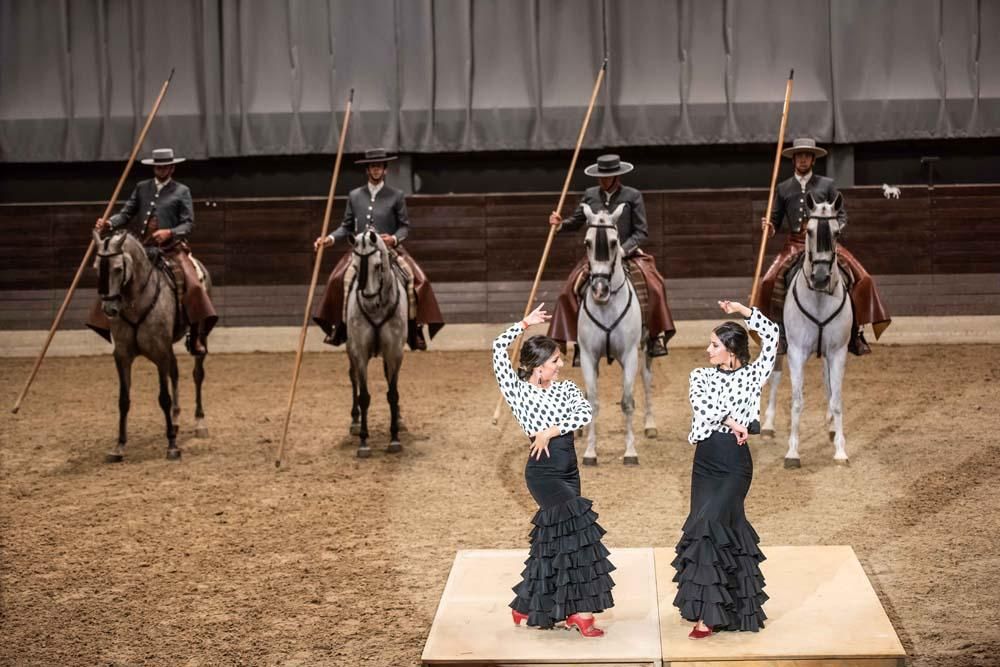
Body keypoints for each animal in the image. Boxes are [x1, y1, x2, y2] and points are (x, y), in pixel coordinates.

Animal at [92, 230, 209, 460]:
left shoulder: (160, 351)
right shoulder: (122, 356)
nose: (109, 309)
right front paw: (119, 446)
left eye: (118, 268)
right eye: (97, 268)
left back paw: (199, 423)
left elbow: (163, 397)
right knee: (175, 372)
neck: (135, 301)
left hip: (199, 337)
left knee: (197, 374)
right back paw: (175, 420)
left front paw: (172, 445)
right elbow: (123, 399)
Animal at [344, 227, 406, 456]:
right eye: (355, 266)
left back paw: (399, 418)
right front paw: (363, 441)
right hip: (350, 350)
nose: (369, 303)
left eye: (378, 266)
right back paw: (354, 421)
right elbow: (364, 396)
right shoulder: (360, 352)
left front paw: (394, 438)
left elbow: (393, 393)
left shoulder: (394, 352)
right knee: (352, 377)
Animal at [576, 202, 652, 464]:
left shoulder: (629, 355)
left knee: (646, 380)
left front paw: (630, 451)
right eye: (587, 242)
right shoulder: (588, 356)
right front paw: (590, 452)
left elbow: (627, 402)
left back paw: (650, 425)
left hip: (645, 350)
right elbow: (593, 401)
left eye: (612, 242)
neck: (606, 306)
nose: (600, 289)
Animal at [764, 190, 852, 468]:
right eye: (809, 231)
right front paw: (792, 452)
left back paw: (832, 427)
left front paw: (840, 451)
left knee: (828, 383)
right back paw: (768, 425)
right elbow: (797, 401)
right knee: (776, 376)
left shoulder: (838, 351)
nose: (821, 278)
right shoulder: (796, 351)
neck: (820, 298)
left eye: (836, 232)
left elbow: (837, 399)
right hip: (779, 345)